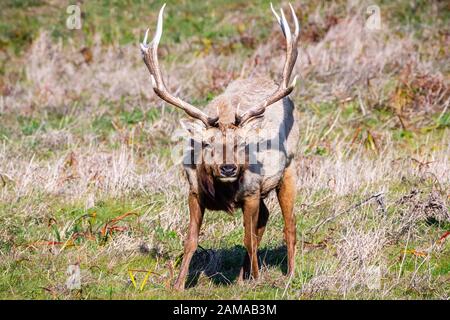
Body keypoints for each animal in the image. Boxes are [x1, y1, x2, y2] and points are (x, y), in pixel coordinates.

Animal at [141, 2, 300, 290]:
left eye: (242, 144)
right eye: (206, 143)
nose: (228, 169)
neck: (222, 192)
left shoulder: (251, 192)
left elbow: (248, 238)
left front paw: (256, 279)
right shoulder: (193, 192)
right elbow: (191, 240)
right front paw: (178, 285)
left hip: (289, 168)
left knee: (288, 222)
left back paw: (289, 275)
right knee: (265, 218)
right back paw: (241, 276)